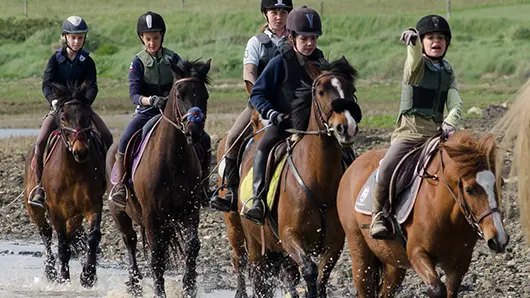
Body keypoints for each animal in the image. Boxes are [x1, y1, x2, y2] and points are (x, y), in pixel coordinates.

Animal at [24, 83, 107, 286]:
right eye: (63, 117)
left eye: (87, 116)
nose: (80, 151)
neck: (73, 170)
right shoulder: (56, 210)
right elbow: (61, 244)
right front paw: (63, 277)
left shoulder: (93, 206)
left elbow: (93, 237)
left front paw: (88, 275)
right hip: (35, 210)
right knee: (46, 233)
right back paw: (51, 271)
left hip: (75, 215)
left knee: (71, 235)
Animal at [105, 58, 210, 298]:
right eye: (179, 95)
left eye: (205, 95)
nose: (194, 133)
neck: (173, 159)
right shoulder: (152, 215)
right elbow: (156, 255)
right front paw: (159, 291)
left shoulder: (190, 209)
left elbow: (192, 245)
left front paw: (189, 286)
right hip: (119, 213)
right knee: (130, 241)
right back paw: (134, 283)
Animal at [237, 57, 360, 296]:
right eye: (321, 92)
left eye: (351, 90)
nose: (347, 127)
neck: (319, 181)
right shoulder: (290, 237)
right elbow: (310, 271)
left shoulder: (334, 243)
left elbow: (321, 280)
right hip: (255, 245)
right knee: (261, 282)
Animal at [336, 132, 510, 296]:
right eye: (469, 190)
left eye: (500, 184)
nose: (499, 239)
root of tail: (352, 167)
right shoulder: (417, 252)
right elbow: (436, 288)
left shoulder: (459, 263)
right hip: (359, 252)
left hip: (394, 263)